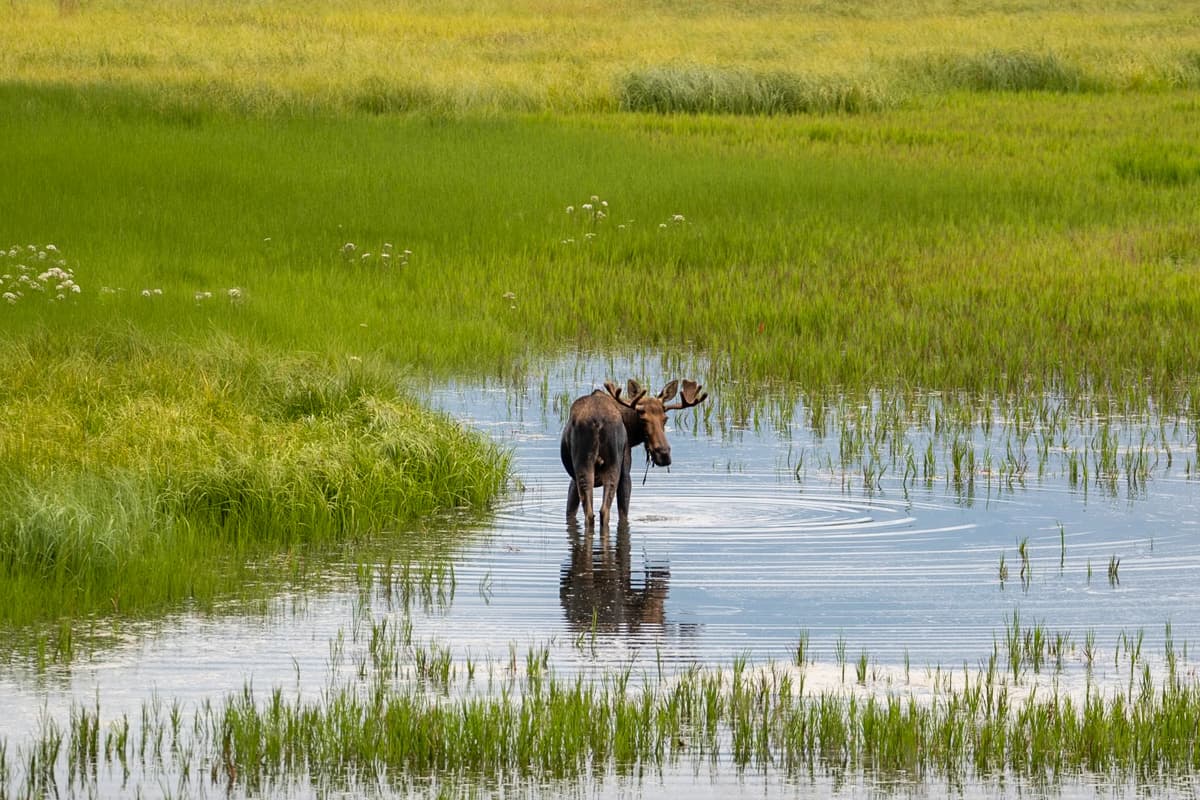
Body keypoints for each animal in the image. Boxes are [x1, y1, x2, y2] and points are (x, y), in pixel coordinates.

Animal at [560, 378, 708, 528]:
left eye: (665, 419)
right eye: (643, 419)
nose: (664, 454)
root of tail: (598, 422)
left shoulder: (573, 478)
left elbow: (570, 511)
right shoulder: (626, 467)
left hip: (583, 465)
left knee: (591, 513)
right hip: (612, 463)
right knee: (605, 511)